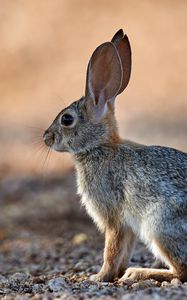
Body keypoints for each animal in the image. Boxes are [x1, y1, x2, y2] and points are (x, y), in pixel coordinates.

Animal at [43, 29, 187, 282]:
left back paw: (139, 273)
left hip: (160, 225)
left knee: (182, 270)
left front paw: (99, 277)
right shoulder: (126, 226)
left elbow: (111, 249)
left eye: (67, 119)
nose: (46, 137)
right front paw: (113, 274)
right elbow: (123, 250)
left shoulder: (113, 216)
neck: (99, 147)